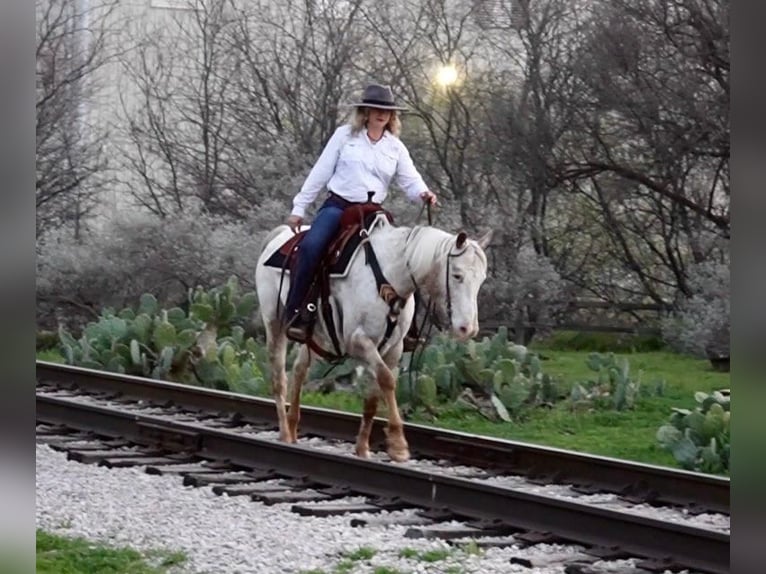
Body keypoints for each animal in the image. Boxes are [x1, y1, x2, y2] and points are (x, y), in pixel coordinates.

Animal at [252, 214, 492, 466]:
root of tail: (280, 235)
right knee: (279, 378)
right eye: (457, 275)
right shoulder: (359, 341)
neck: (388, 276)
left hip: (314, 336)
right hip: (274, 324)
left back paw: (292, 426)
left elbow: (373, 396)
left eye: (481, 279)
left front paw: (363, 448)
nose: (468, 328)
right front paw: (398, 444)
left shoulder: (392, 348)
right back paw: (284, 432)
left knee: (299, 369)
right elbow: (387, 380)